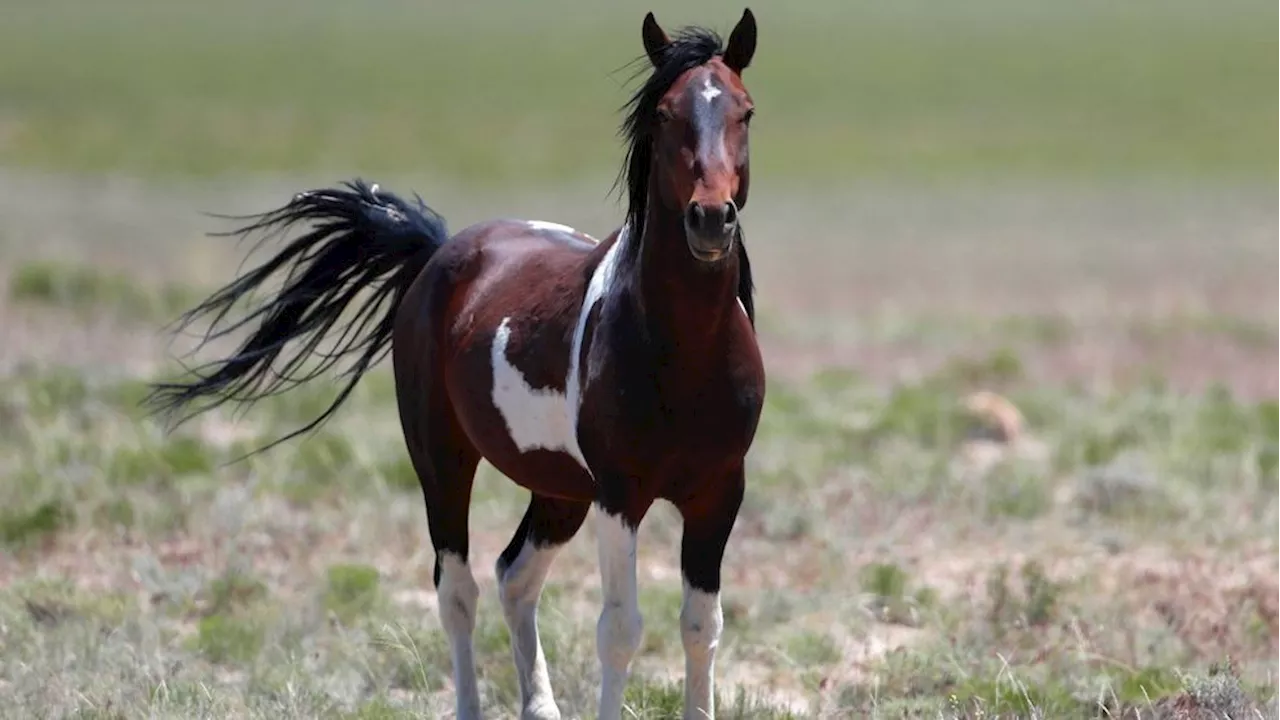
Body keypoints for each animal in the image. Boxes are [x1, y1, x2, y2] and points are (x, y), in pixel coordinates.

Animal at [142, 9, 757, 717]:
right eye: (664, 112)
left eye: (745, 111)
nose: (710, 219)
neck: (683, 351)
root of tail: (439, 251)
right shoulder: (620, 496)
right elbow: (620, 630)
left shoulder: (717, 492)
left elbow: (700, 626)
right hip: (443, 461)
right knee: (458, 589)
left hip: (558, 489)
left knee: (514, 577)